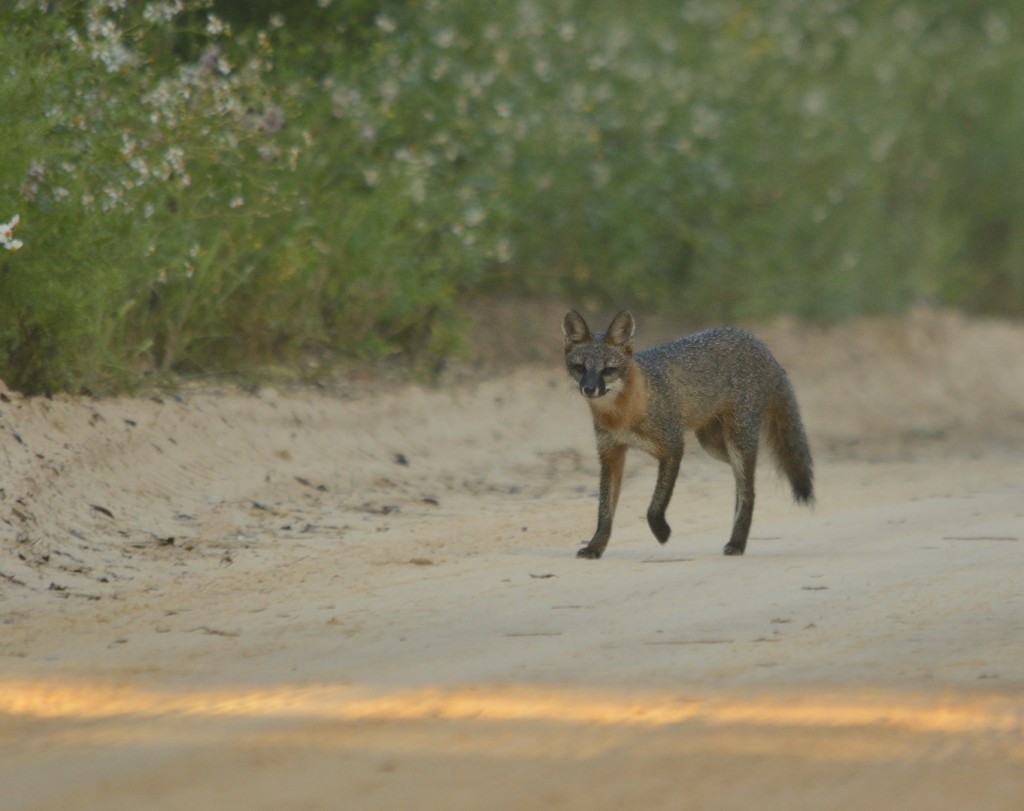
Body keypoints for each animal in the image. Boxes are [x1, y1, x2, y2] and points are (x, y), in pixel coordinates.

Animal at [561, 309, 815, 557]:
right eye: (580, 368)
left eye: (608, 370)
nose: (589, 389)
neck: (623, 415)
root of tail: (757, 343)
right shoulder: (610, 455)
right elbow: (604, 513)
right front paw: (595, 547)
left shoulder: (673, 448)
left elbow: (655, 505)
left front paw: (662, 532)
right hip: (713, 446)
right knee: (742, 484)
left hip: (737, 442)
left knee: (749, 492)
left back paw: (737, 543)